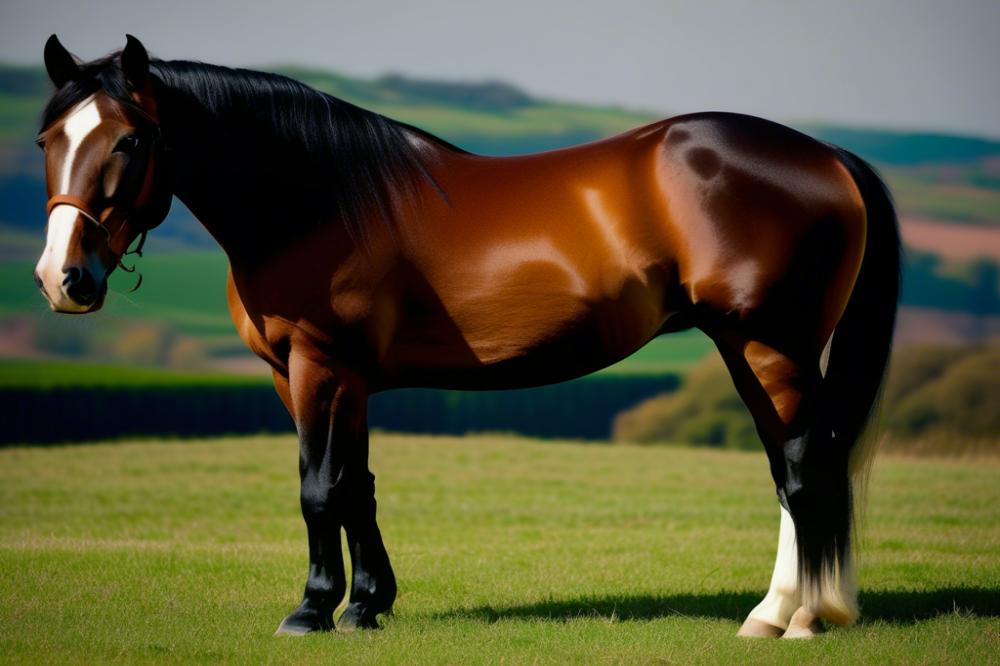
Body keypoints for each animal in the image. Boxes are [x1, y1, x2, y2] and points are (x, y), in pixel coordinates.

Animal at [35, 36, 904, 640]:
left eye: (129, 141)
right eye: (49, 141)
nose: (61, 278)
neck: (316, 200)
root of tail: (827, 155)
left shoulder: (316, 366)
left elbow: (317, 488)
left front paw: (312, 611)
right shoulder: (335, 377)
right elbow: (356, 485)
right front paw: (367, 606)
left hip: (771, 346)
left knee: (805, 469)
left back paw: (803, 619)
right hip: (749, 349)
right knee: (790, 472)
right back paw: (776, 613)